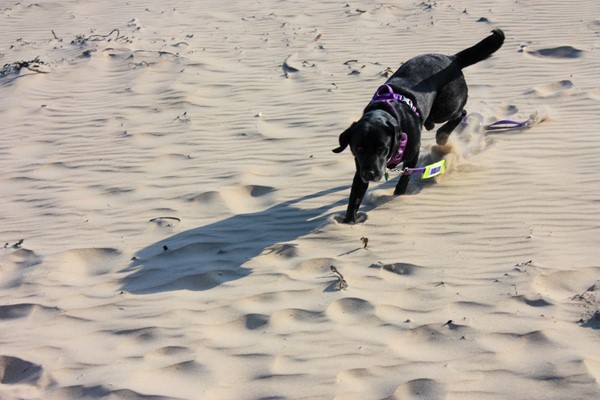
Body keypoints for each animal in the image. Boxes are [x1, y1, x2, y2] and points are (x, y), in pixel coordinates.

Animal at [330, 29, 504, 223]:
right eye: (358, 149)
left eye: (382, 148)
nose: (371, 174)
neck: (388, 112)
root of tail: (452, 58)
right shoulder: (361, 166)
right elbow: (355, 197)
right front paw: (349, 221)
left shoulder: (412, 155)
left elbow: (403, 180)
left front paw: (397, 197)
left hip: (445, 107)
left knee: (461, 113)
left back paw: (442, 135)